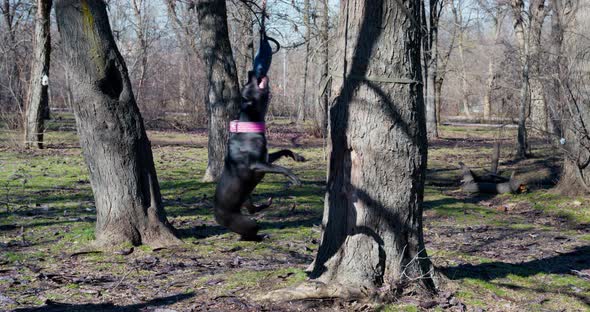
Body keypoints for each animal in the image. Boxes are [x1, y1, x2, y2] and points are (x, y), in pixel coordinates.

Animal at [214, 71, 306, 241]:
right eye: (247, 85)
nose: (251, 72)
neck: (249, 126)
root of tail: (216, 215)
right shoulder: (257, 165)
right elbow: (281, 168)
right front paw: (295, 179)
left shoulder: (266, 158)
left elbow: (284, 151)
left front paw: (297, 157)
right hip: (246, 222)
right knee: (249, 233)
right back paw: (262, 236)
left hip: (246, 199)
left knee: (252, 210)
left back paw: (266, 204)